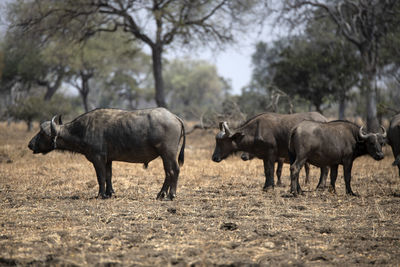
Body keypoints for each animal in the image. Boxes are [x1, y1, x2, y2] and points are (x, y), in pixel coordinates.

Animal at [28, 108, 186, 200]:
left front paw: (101, 194)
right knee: (168, 172)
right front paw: (110, 193)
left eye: (42, 133)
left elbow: (100, 177)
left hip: (168, 153)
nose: (30, 144)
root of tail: (175, 117)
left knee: (174, 171)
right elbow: (108, 176)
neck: (83, 130)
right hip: (165, 155)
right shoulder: (108, 159)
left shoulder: (97, 158)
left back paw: (171, 195)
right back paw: (161, 194)